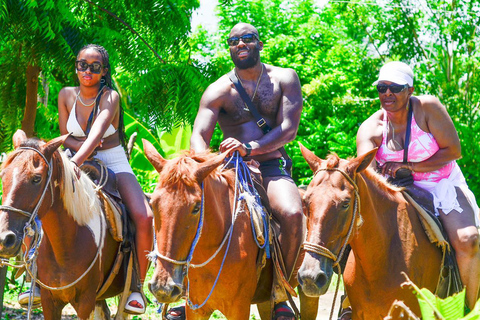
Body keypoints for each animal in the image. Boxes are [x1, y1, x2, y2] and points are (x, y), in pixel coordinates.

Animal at [0, 131, 129, 320]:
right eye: (3, 175)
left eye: (36, 178)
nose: (5, 239)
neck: (65, 246)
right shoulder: (49, 301)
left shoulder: (85, 302)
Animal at [142, 140, 318, 320]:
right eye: (153, 204)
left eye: (197, 207)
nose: (163, 287)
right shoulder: (196, 309)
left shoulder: (238, 309)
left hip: (309, 290)